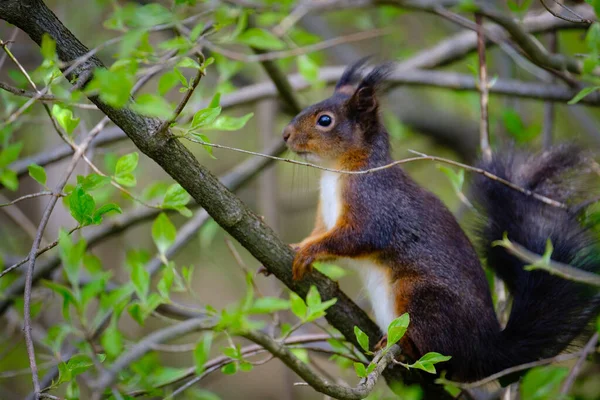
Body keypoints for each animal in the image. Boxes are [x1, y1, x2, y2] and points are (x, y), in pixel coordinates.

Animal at [284, 58, 600, 382]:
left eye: (325, 120)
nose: (285, 134)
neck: (334, 172)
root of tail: (488, 352)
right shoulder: (326, 217)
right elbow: (322, 233)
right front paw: (298, 245)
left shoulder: (374, 203)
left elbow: (359, 237)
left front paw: (308, 252)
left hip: (422, 297)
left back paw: (405, 346)